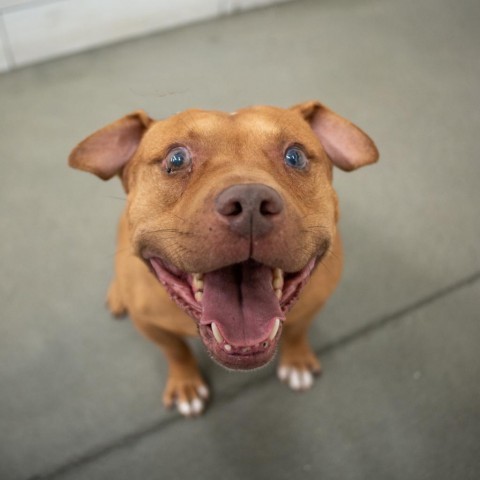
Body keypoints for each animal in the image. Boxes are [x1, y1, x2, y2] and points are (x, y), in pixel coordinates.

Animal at [69, 100, 378, 416]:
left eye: (295, 156)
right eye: (177, 159)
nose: (250, 202)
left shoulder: (312, 306)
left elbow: (296, 332)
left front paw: (296, 360)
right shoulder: (151, 325)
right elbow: (176, 351)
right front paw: (186, 383)